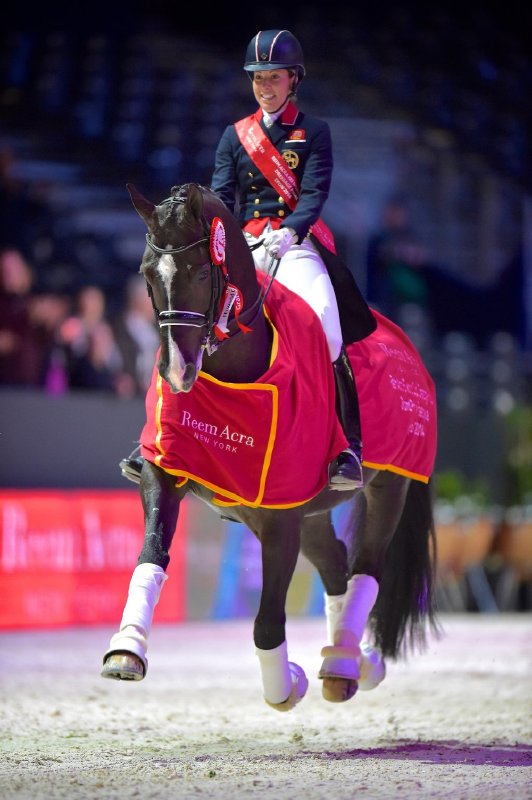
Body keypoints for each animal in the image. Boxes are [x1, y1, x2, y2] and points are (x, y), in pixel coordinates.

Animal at [102, 183, 438, 712]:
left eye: (202, 271)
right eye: (146, 274)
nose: (175, 372)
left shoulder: (279, 515)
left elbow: (265, 623)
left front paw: (286, 686)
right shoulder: (166, 471)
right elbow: (150, 554)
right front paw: (126, 649)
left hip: (389, 488)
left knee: (366, 570)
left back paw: (345, 665)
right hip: (312, 512)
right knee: (336, 568)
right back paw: (350, 661)